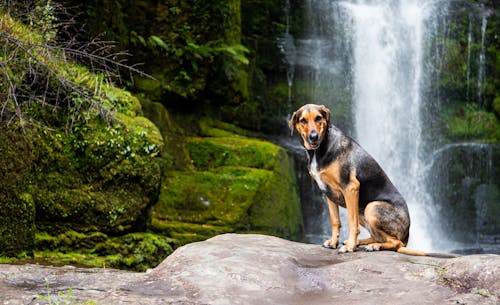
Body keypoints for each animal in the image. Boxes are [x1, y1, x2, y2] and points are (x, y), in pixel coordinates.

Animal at [290, 102, 426, 254]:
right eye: (303, 120)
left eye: (318, 118)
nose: (314, 137)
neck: (319, 151)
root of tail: (407, 235)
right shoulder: (328, 193)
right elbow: (335, 221)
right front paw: (334, 242)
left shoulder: (350, 188)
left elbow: (351, 222)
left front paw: (350, 246)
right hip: (363, 211)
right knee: (379, 237)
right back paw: (362, 242)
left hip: (371, 207)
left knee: (396, 243)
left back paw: (372, 246)